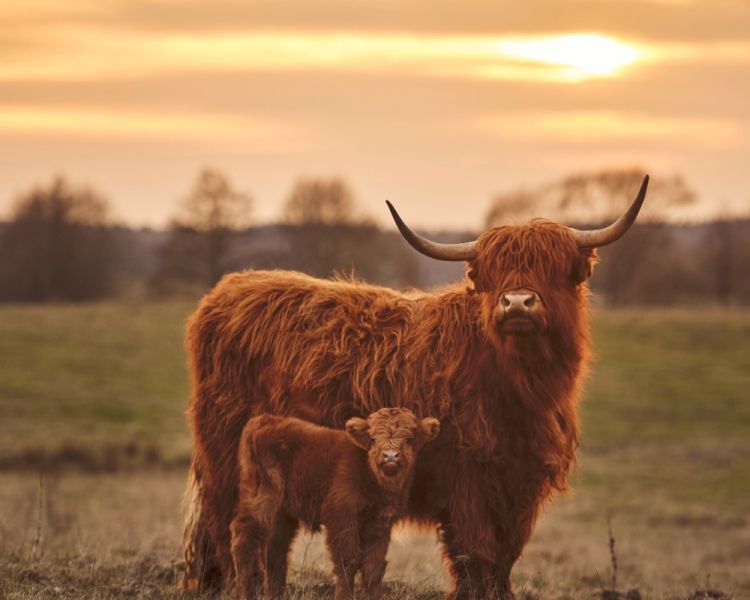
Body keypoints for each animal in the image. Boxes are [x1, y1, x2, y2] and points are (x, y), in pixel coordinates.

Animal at [230, 408, 440, 600]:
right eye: (373, 438)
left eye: (409, 439)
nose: (390, 456)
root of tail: (263, 421)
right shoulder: (342, 518)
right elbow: (348, 561)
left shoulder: (381, 524)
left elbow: (373, 568)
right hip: (261, 500)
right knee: (244, 539)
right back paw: (246, 594)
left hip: (282, 514)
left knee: (276, 549)